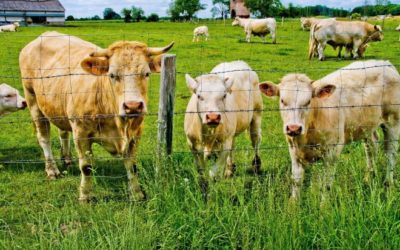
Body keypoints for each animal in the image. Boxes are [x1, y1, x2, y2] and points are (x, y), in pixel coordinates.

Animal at [19, 31, 173, 203]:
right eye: (112, 75)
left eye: (146, 73)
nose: (132, 106)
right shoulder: (81, 133)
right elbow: (86, 167)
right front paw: (85, 196)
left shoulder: (135, 133)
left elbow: (132, 165)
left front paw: (137, 194)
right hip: (33, 102)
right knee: (44, 138)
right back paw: (52, 169)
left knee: (63, 132)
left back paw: (66, 158)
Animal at [184, 61, 262, 197]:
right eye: (199, 96)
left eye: (224, 95)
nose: (213, 117)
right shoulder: (192, 144)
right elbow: (201, 173)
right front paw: (203, 191)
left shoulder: (225, 143)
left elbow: (213, 174)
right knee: (234, 145)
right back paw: (230, 169)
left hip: (256, 115)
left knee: (255, 140)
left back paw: (256, 165)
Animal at [260, 60, 400, 201]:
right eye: (283, 101)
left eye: (308, 101)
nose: (294, 128)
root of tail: (384, 63)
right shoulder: (293, 150)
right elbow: (296, 181)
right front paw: (293, 204)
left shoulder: (333, 150)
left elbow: (326, 184)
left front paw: (324, 205)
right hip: (366, 126)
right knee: (371, 147)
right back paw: (368, 178)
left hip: (393, 122)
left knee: (390, 153)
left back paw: (388, 184)